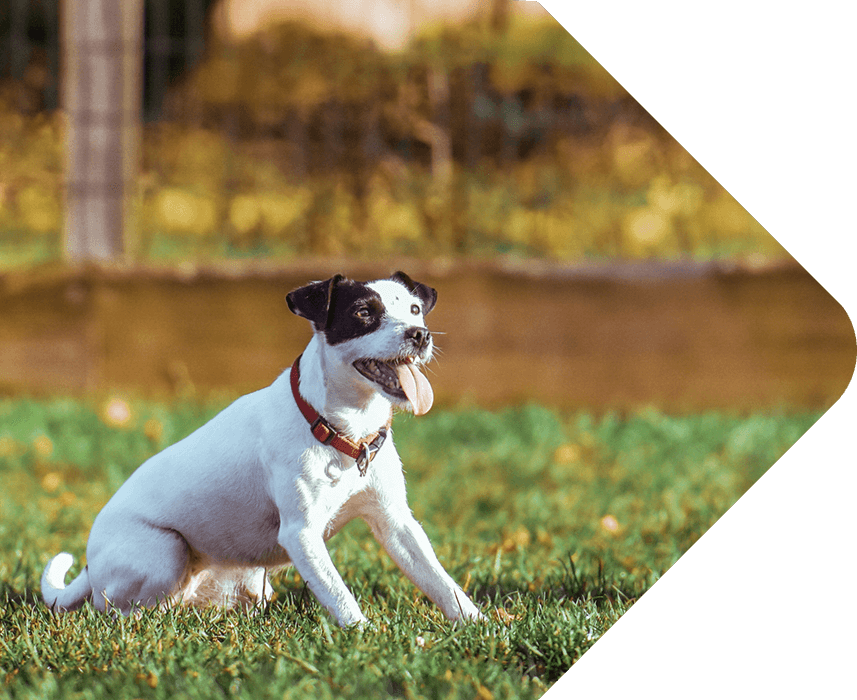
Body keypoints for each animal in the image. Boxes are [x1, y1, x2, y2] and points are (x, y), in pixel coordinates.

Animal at [41, 270, 482, 628]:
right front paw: (366, 636)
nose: (419, 335)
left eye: (415, 309)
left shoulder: (396, 522)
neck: (343, 430)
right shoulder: (302, 533)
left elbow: (440, 581)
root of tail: (89, 568)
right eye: (363, 312)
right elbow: (339, 595)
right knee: (122, 610)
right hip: (165, 551)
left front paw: (478, 626)